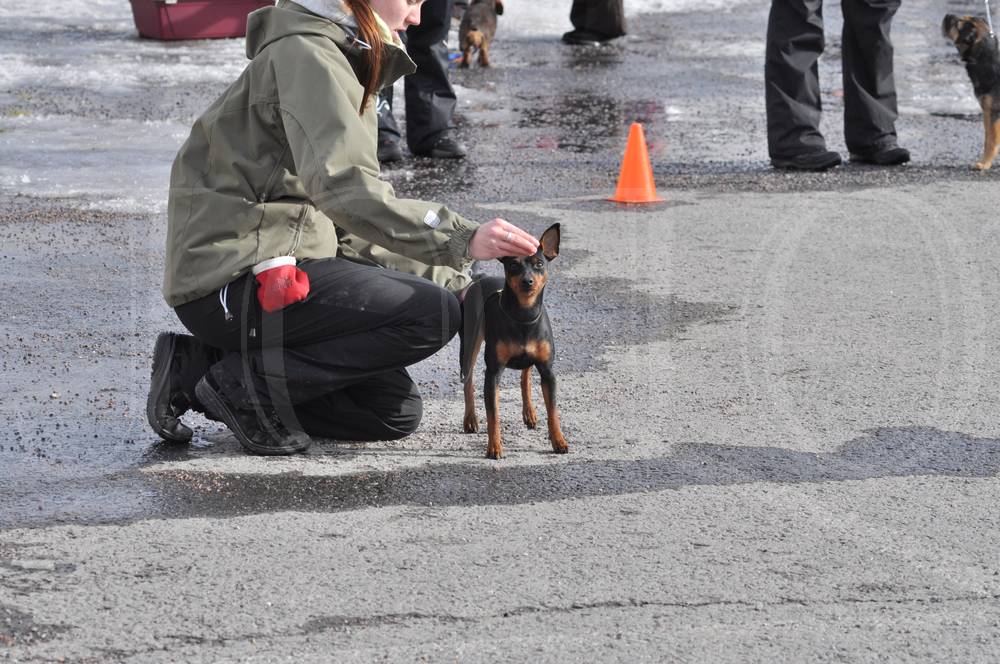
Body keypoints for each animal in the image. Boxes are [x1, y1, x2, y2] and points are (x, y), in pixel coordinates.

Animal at [459, 223, 568, 459]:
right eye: (513, 265)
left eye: (539, 264)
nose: (528, 281)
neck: (523, 315)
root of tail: (480, 277)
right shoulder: (493, 373)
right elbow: (493, 415)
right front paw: (494, 447)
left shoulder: (548, 371)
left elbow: (553, 411)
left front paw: (559, 441)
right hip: (470, 343)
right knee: (468, 380)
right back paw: (470, 419)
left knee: (525, 377)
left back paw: (530, 414)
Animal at [943, 14, 1000, 169]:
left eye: (957, 24)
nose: (947, 15)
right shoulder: (987, 112)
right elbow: (987, 138)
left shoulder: (994, 113)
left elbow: (992, 140)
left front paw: (984, 164)